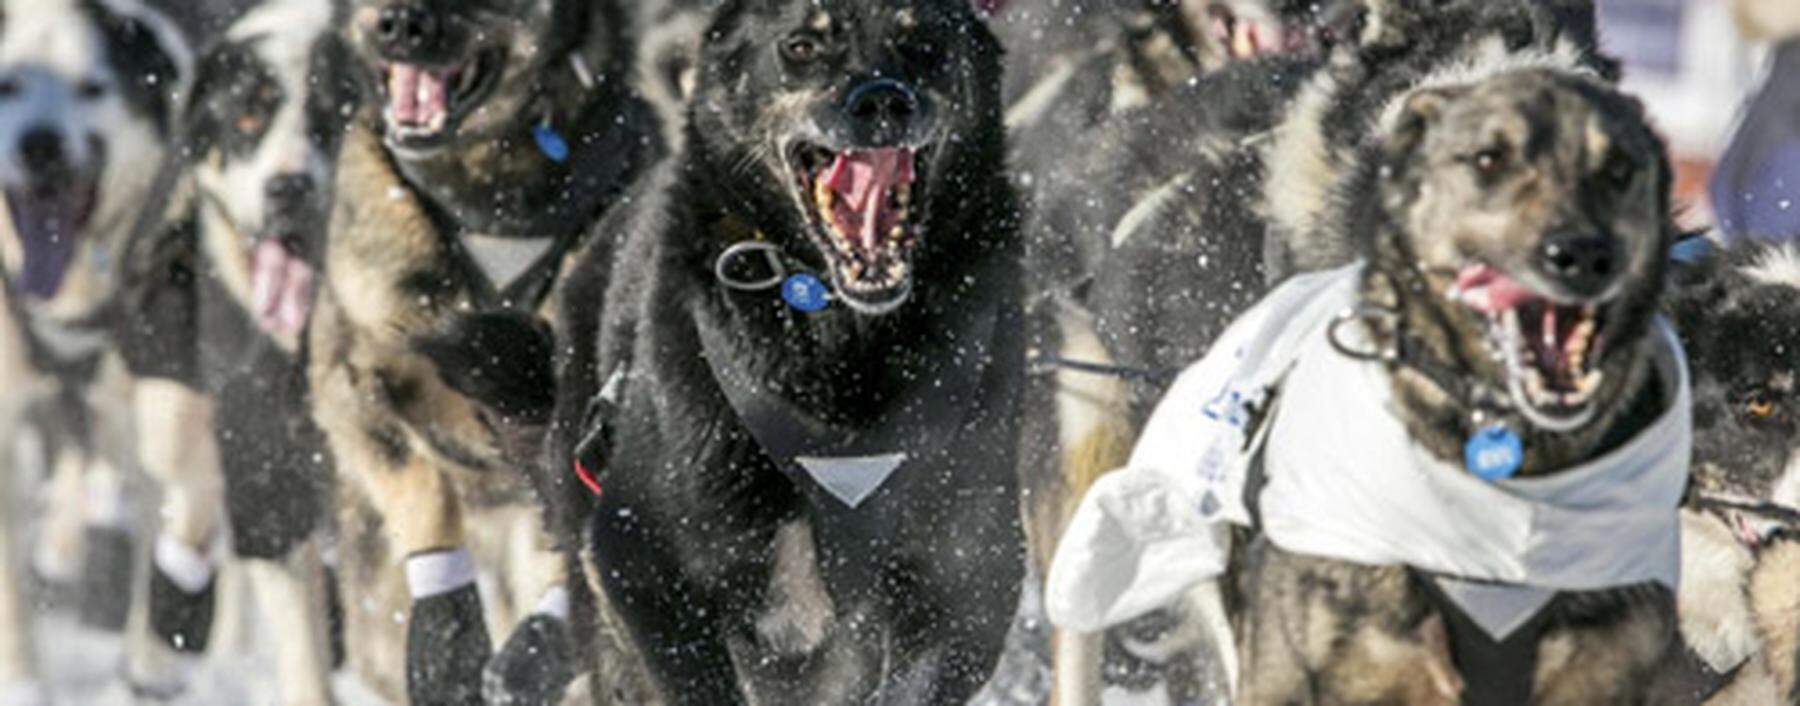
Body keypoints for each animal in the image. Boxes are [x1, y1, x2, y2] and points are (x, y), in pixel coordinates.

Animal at [307, 0, 662, 702]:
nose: (400, 26)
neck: (485, 185)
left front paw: (533, 650)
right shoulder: (352, 383)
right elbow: (422, 490)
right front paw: (448, 625)